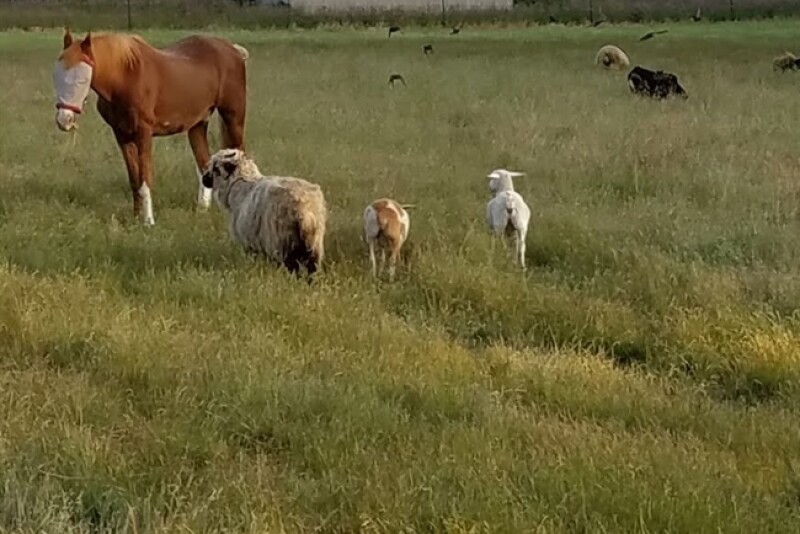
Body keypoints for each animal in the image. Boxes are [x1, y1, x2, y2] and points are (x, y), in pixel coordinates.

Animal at [53, 29, 248, 225]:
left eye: (82, 80)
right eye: (56, 76)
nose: (64, 120)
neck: (125, 77)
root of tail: (233, 49)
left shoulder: (144, 134)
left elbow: (145, 179)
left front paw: (148, 221)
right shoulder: (122, 136)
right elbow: (134, 180)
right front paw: (135, 218)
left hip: (234, 119)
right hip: (198, 124)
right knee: (203, 165)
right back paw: (201, 210)